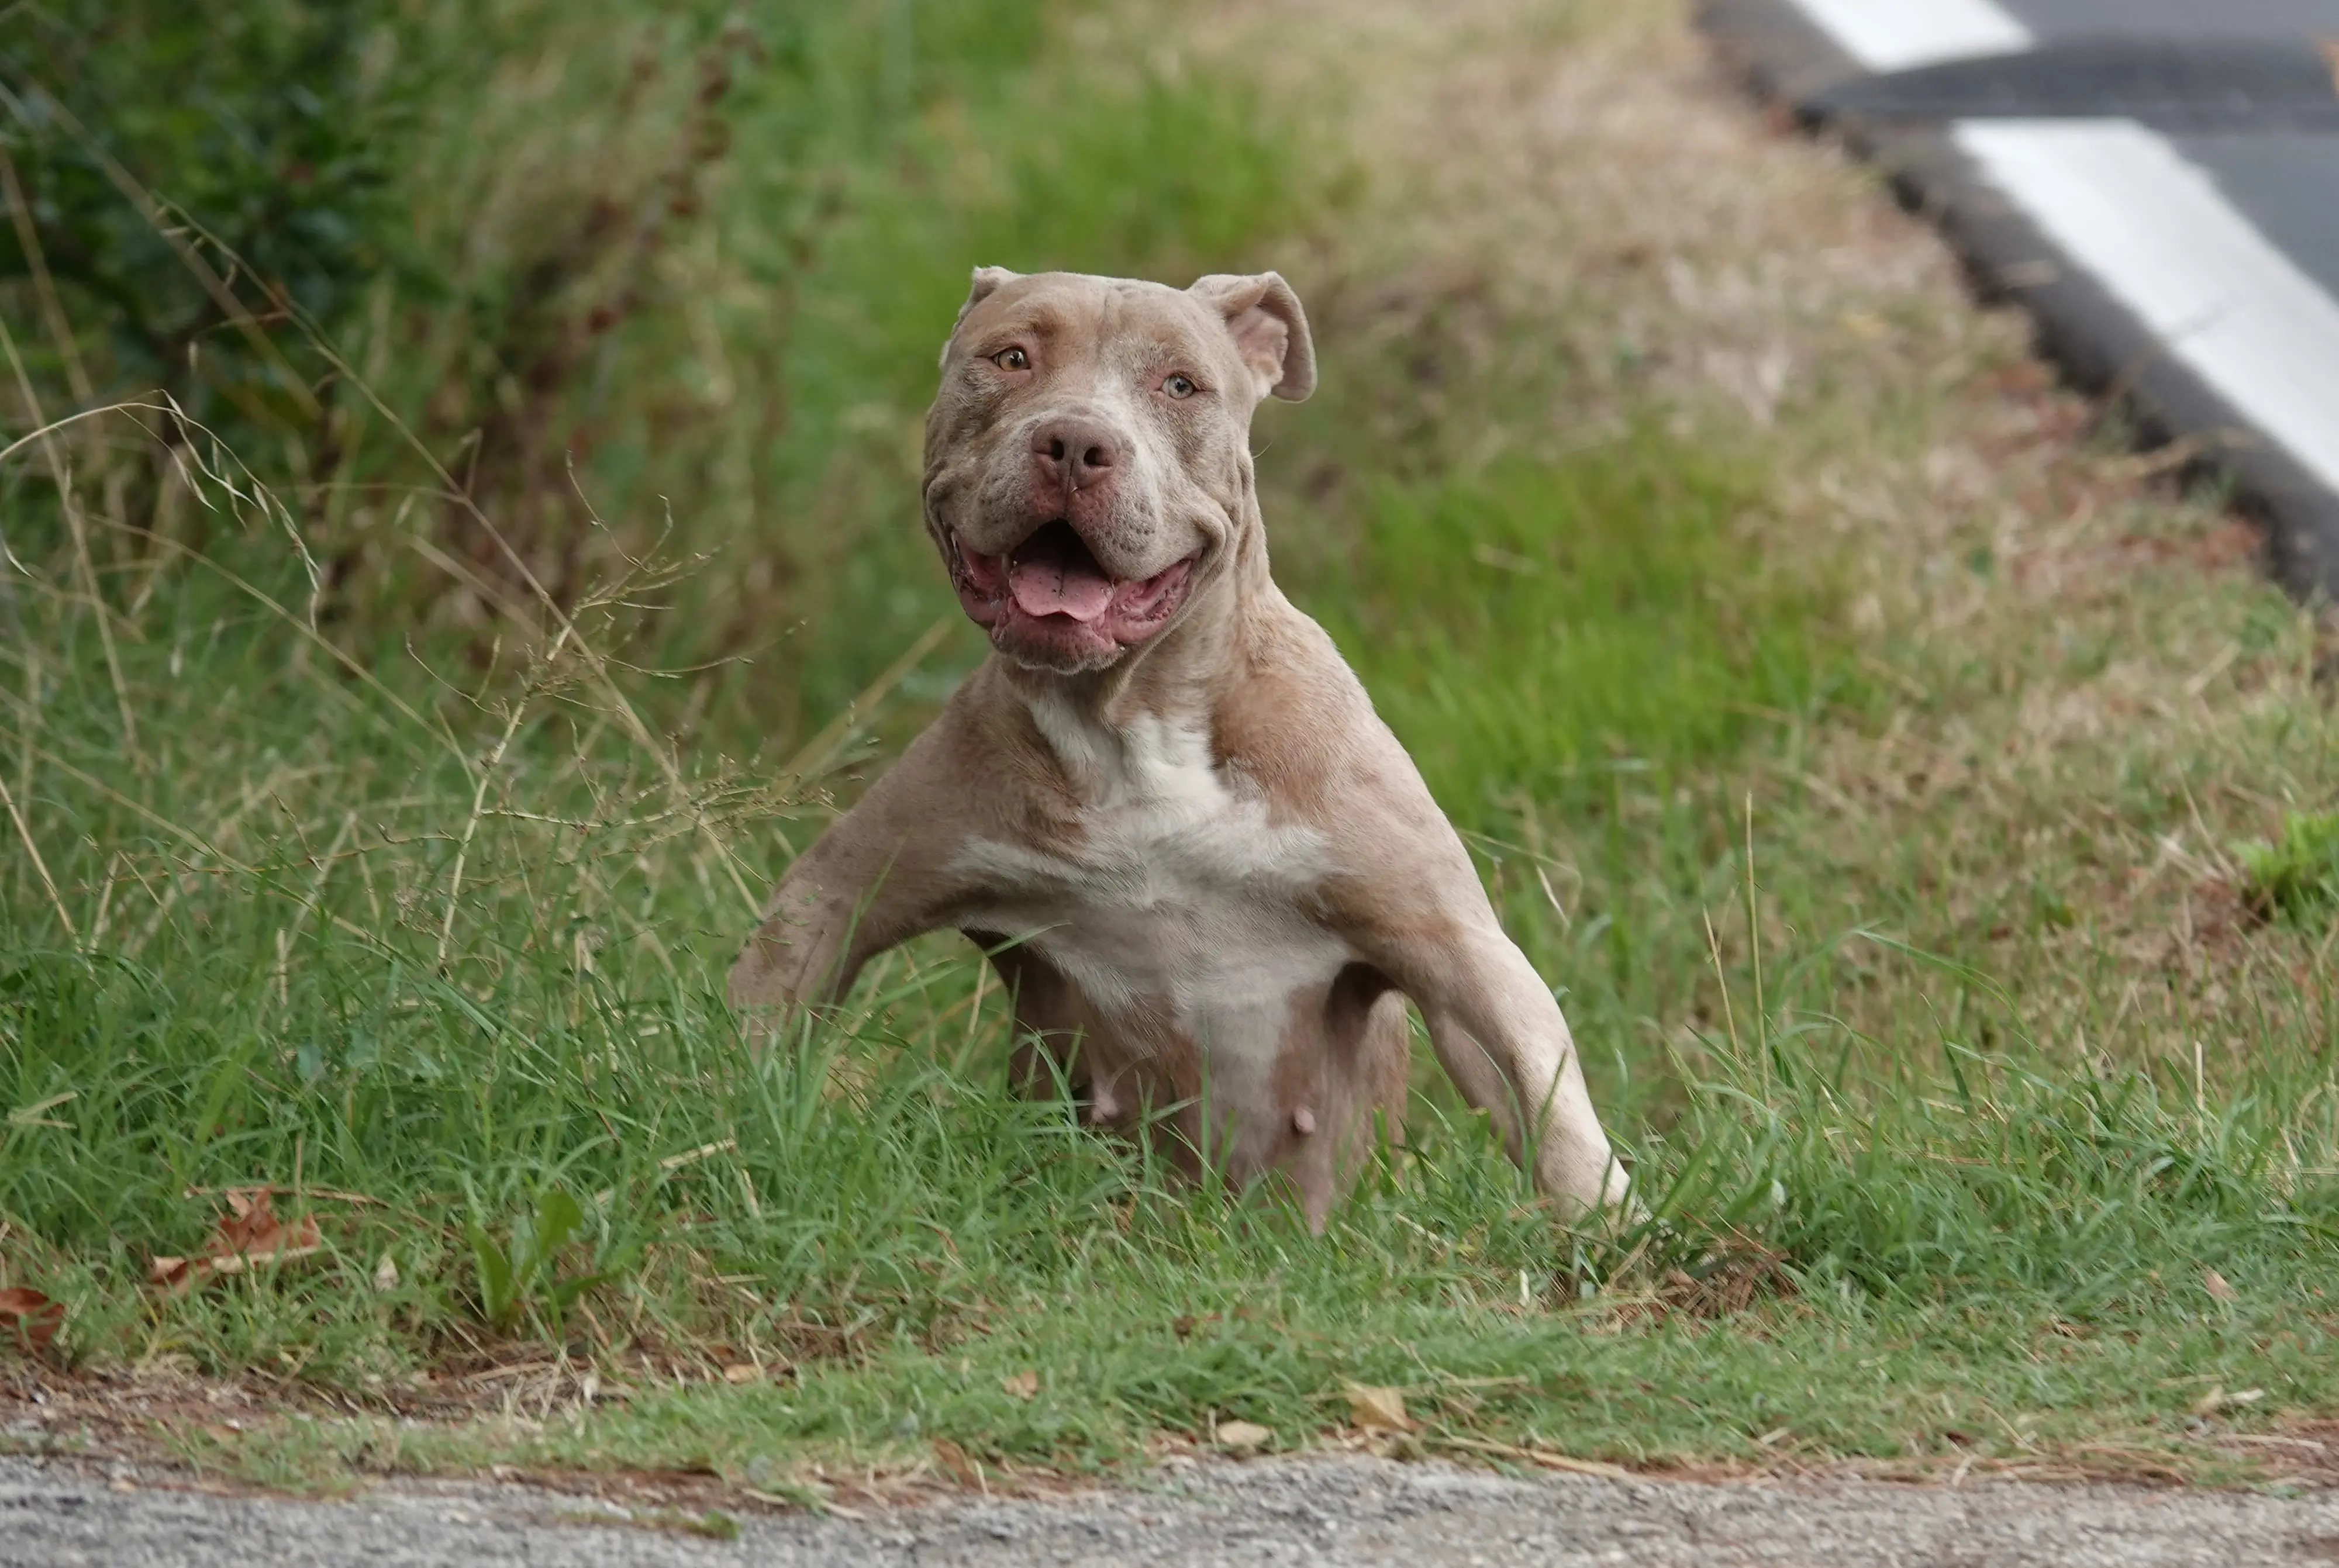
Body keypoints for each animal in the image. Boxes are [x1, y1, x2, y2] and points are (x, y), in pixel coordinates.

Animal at [730, 267, 1628, 1226]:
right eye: (1011, 358)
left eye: (1180, 385)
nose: (1075, 442)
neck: (1132, 720)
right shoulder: (845, 886)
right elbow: (763, 1009)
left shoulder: (1450, 940)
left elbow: (1549, 1106)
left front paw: (1614, 1230)